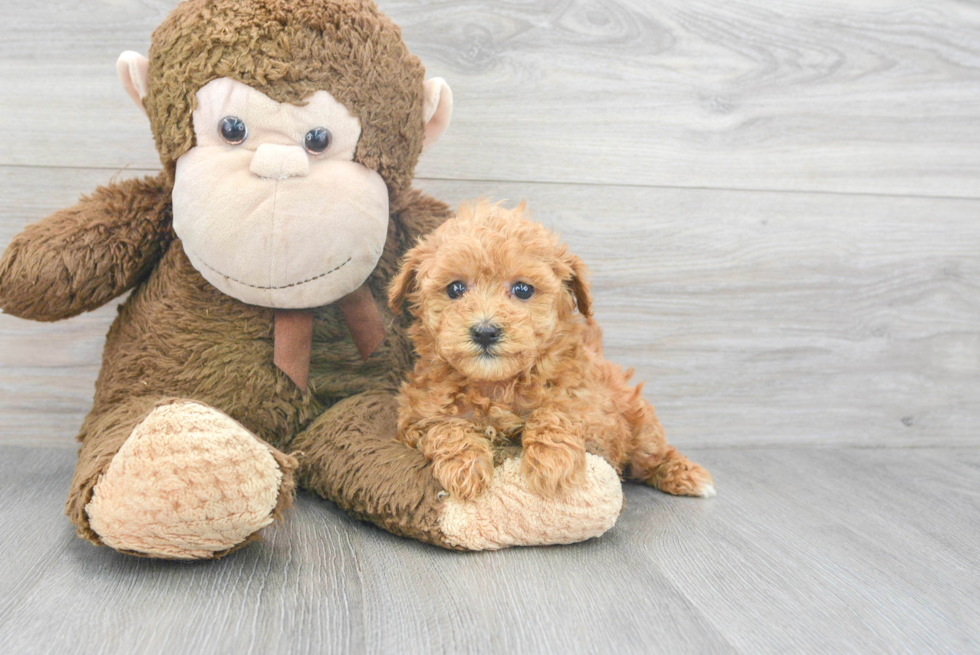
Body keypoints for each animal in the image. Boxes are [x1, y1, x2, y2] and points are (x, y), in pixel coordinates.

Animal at [386, 200, 716, 502]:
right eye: (455, 289)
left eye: (523, 290)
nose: (485, 331)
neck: (496, 386)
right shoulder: (415, 417)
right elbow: (445, 426)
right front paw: (464, 467)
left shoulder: (596, 417)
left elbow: (554, 411)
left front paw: (552, 462)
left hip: (639, 424)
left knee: (654, 454)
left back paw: (687, 475)